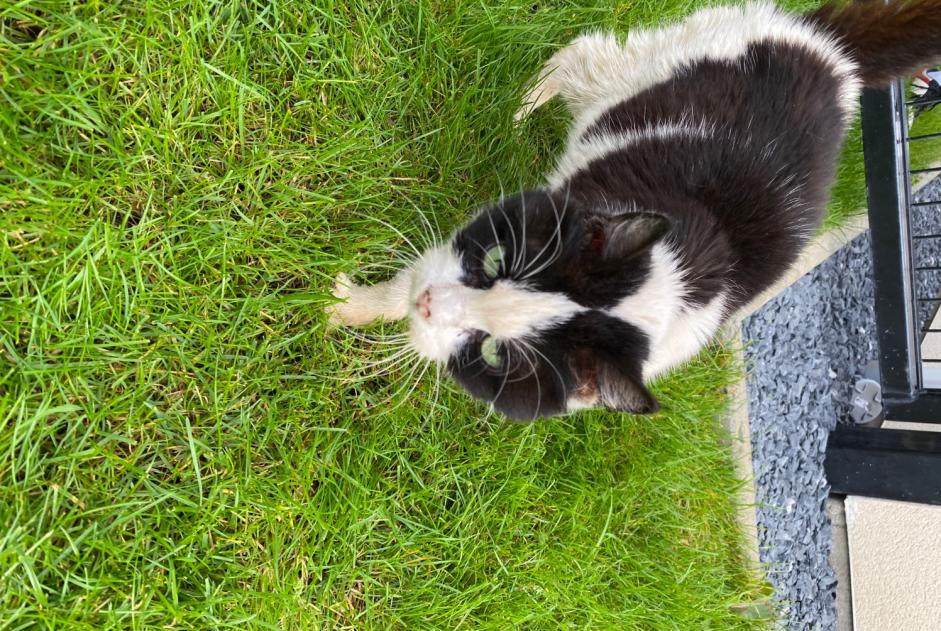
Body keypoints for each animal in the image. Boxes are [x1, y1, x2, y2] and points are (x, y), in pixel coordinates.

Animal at [328, 3, 940, 424]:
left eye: (494, 355)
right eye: (499, 258)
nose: (430, 304)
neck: (667, 283)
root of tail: (835, 52)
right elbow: (411, 274)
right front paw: (350, 306)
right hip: (672, 58)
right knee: (588, 56)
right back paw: (525, 106)